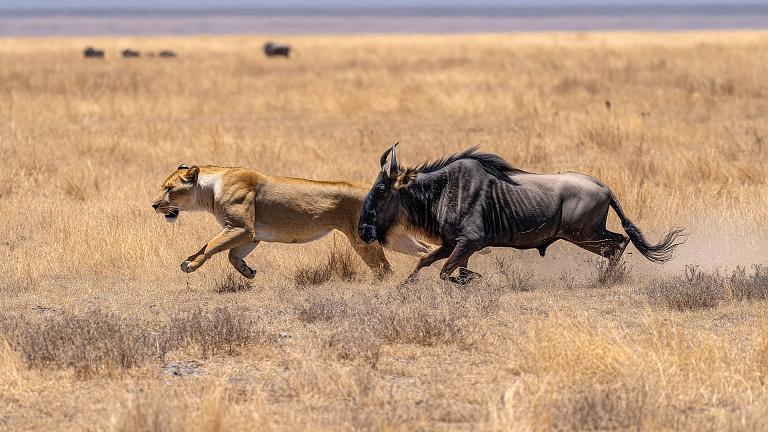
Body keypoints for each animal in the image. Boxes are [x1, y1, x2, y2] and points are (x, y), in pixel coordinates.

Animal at [150, 164, 431, 279]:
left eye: (169, 189)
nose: (153, 205)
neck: (210, 189)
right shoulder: (252, 233)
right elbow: (231, 254)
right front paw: (247, 272)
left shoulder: (241, 227)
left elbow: (211, 246)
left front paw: (190, 265)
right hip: (392, 236)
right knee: (424, 249)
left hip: (363, 238)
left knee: (384, 269)